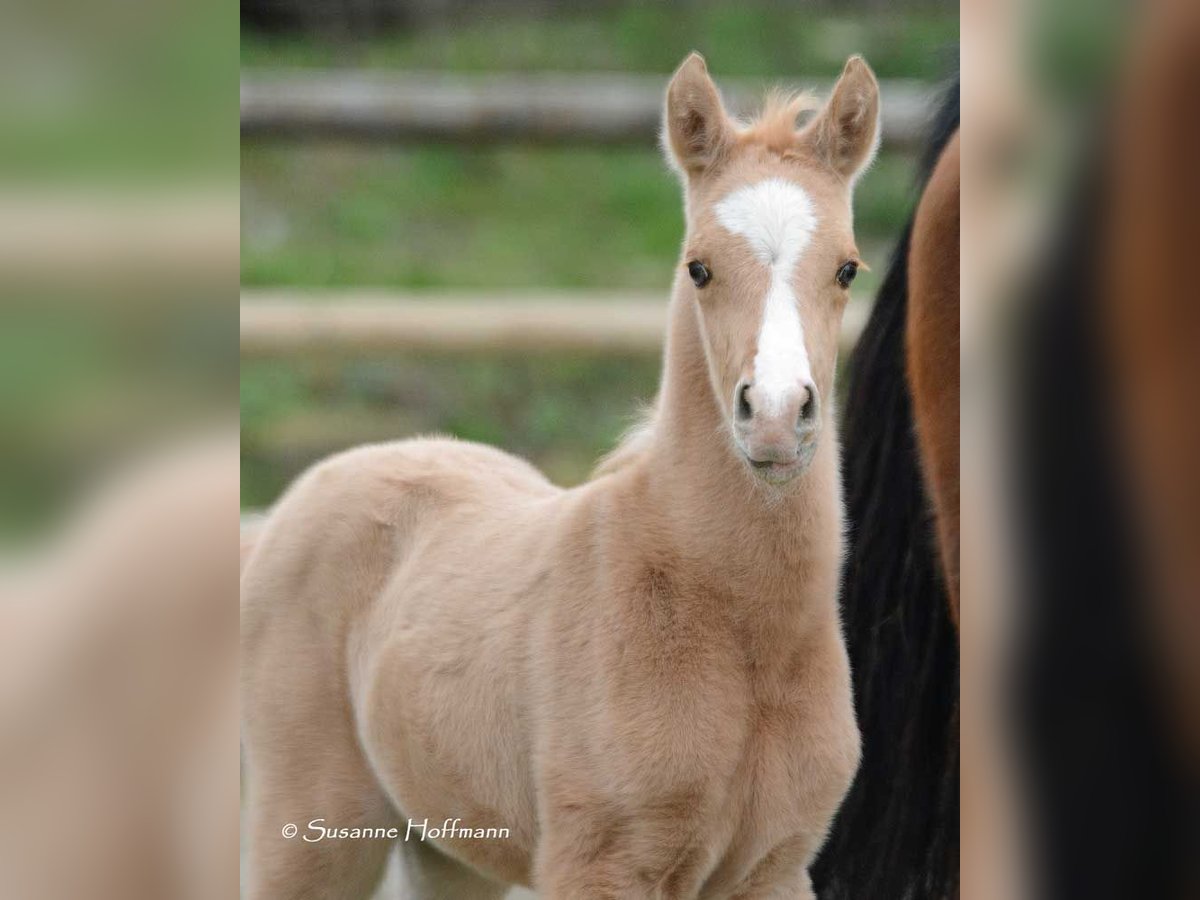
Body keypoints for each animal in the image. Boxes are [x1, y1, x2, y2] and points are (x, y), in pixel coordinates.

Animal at [243, 52, 883, 897]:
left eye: (847, 269)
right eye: (699, 268)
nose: (776, 417)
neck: (739, 631)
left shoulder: (774, 870)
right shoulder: (597, 864)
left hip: (449, 846)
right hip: (311, 831)